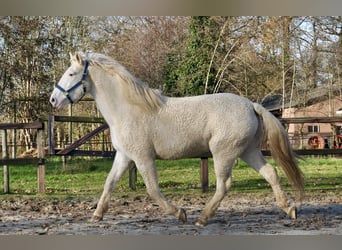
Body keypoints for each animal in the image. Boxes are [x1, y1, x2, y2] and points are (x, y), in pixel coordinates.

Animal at [49, 51, 304, 226]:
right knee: (270, 173)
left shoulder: (143, 158)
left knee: (224, 185)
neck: (128, 109)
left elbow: (152, 190)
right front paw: (96, 215)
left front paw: (180, 213)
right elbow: (109, 184)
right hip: (248, 151)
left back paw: (202, 218)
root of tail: (252, 105)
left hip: (224, 153)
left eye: (71, 73)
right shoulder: (124, 156)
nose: (53, 100)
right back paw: (289, 209)